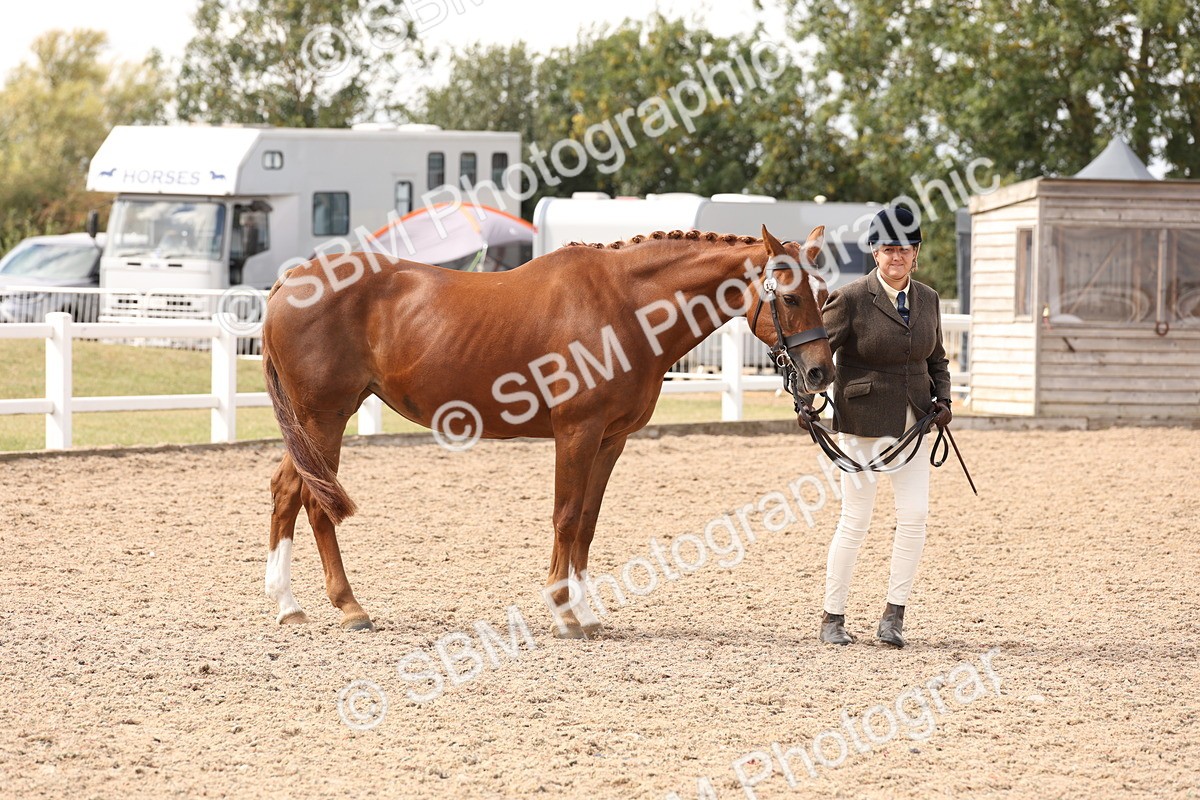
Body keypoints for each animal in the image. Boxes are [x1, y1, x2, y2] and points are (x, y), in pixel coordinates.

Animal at [261, 225, 835, 637]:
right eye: (789, 298)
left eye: (825, 293)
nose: (820, 374)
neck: (623, 305)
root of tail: (291, 280)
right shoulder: (577, 432)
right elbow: (565, 517)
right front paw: (563, 613)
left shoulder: (611, 439)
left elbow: (587, 523)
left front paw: (587, 612)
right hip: (324, 418)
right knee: (315, 503)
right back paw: (350, 608)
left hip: (314, 422)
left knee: (287, 490)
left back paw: (289, 606)